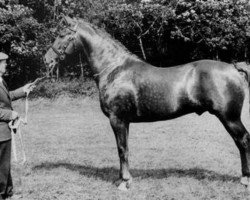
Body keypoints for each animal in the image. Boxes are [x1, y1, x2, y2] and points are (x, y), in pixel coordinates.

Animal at [44, 16, 250, 191]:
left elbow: (121, 149)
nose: (47, 60)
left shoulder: (117, 119)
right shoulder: (124, 122)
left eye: (61, 34)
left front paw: (124, 182)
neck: (114, 69)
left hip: (230, 118)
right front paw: (123, 179)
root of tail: (233, 68)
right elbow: (125, 149)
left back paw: (245, 179)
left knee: (243, 141)